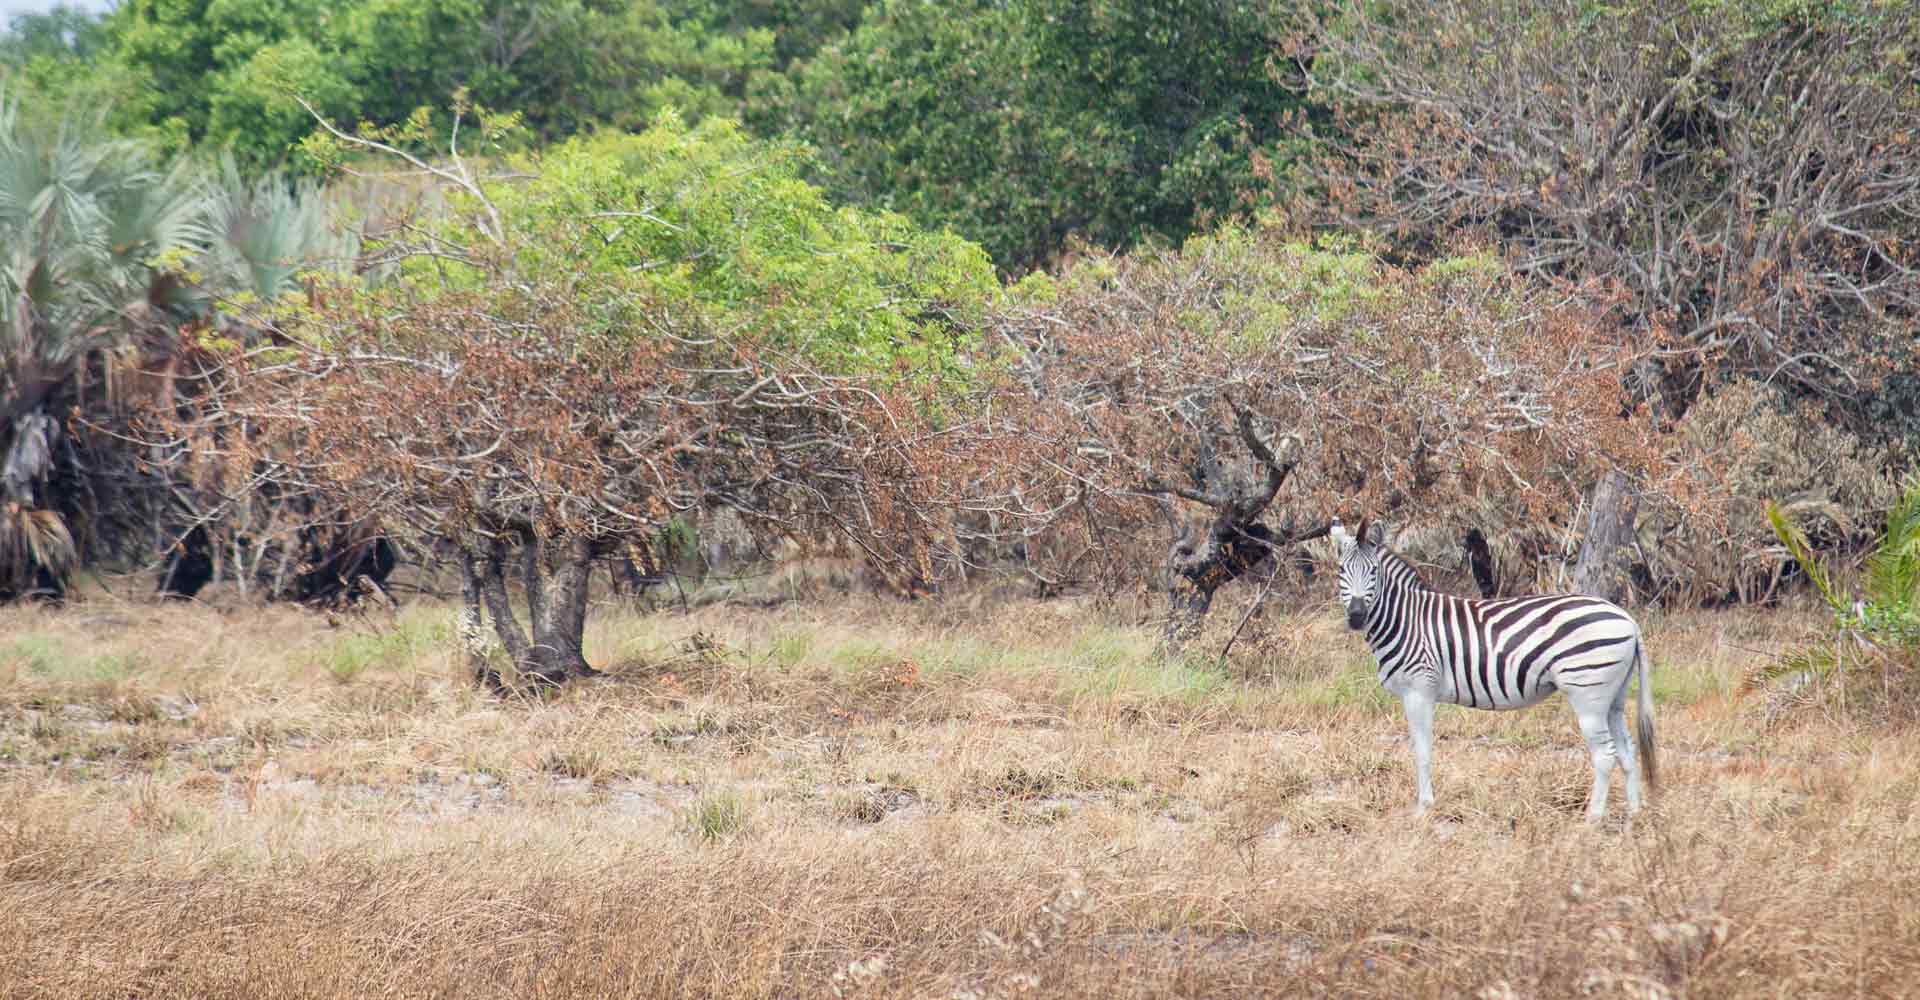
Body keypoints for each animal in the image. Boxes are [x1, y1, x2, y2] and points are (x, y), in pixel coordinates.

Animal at [1328, 514, 1658, 817]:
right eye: (1342, 570)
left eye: (1373, 571)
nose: (1356, 616)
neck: (1406, 620)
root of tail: (1627, 619)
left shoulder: (1420, 691)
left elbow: (1422, 750)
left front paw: (1423, 809)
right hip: (1613, 696)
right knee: (1627, 750)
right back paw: (1633, 817)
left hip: (1588, 693)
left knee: (1604, 754)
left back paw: (1592, 819)